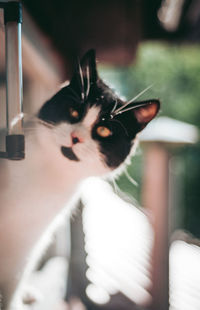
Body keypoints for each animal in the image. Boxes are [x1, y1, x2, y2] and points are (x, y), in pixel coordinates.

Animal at [0, 49, 159, 308]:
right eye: (74, 111)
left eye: (104, 131)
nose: (76, 137)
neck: (50, 175)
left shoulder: (28, 243)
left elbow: (13, 283)